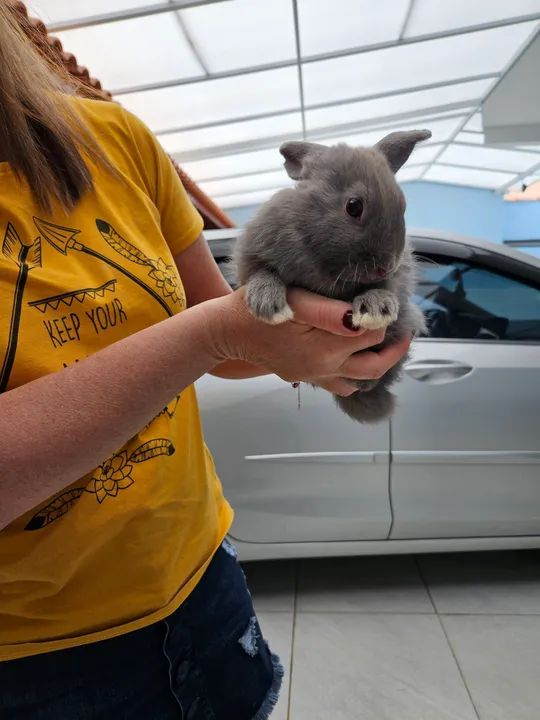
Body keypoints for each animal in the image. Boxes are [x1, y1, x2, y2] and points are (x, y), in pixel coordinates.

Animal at [234, 130, 431, 423]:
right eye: (354, 206)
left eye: (402, 205)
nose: (386, 266)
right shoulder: (253, 254)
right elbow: (261, 273)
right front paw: (268, 306)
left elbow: (385, 291)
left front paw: (375, 309)